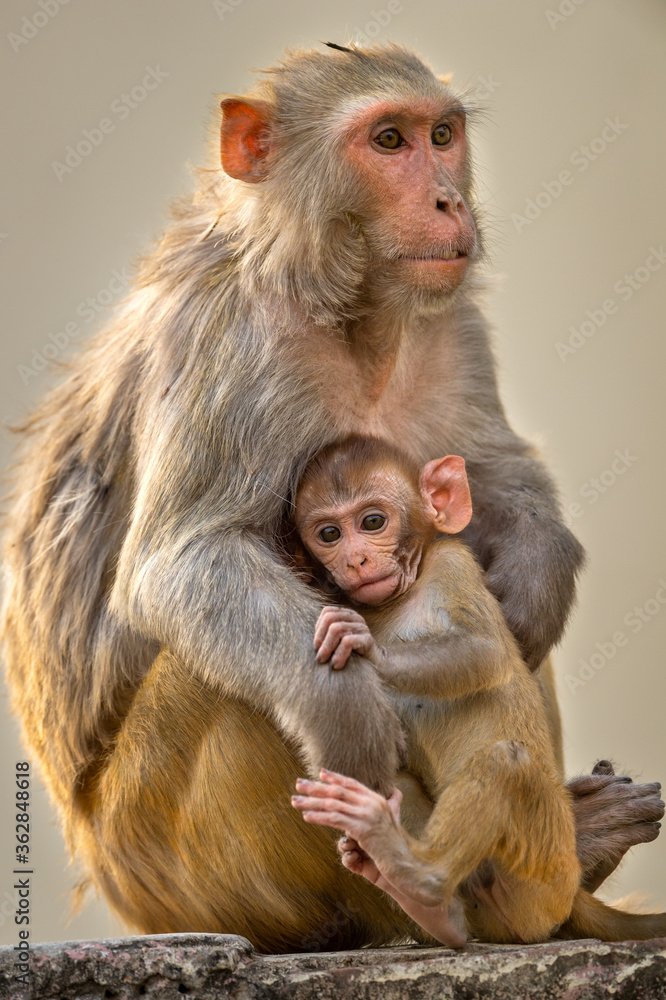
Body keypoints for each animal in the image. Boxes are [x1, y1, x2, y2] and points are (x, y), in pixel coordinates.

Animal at [290, 436, 660, 944]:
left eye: (372, 522)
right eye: (329, 534)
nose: (356, 560)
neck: (397, 600)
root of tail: (570, 896)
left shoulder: (453, 565)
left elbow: (484, 652)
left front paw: (367, 646)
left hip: (540, 874)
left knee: (504, 761)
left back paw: (419, 877)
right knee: (400, 781)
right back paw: (434, 910)